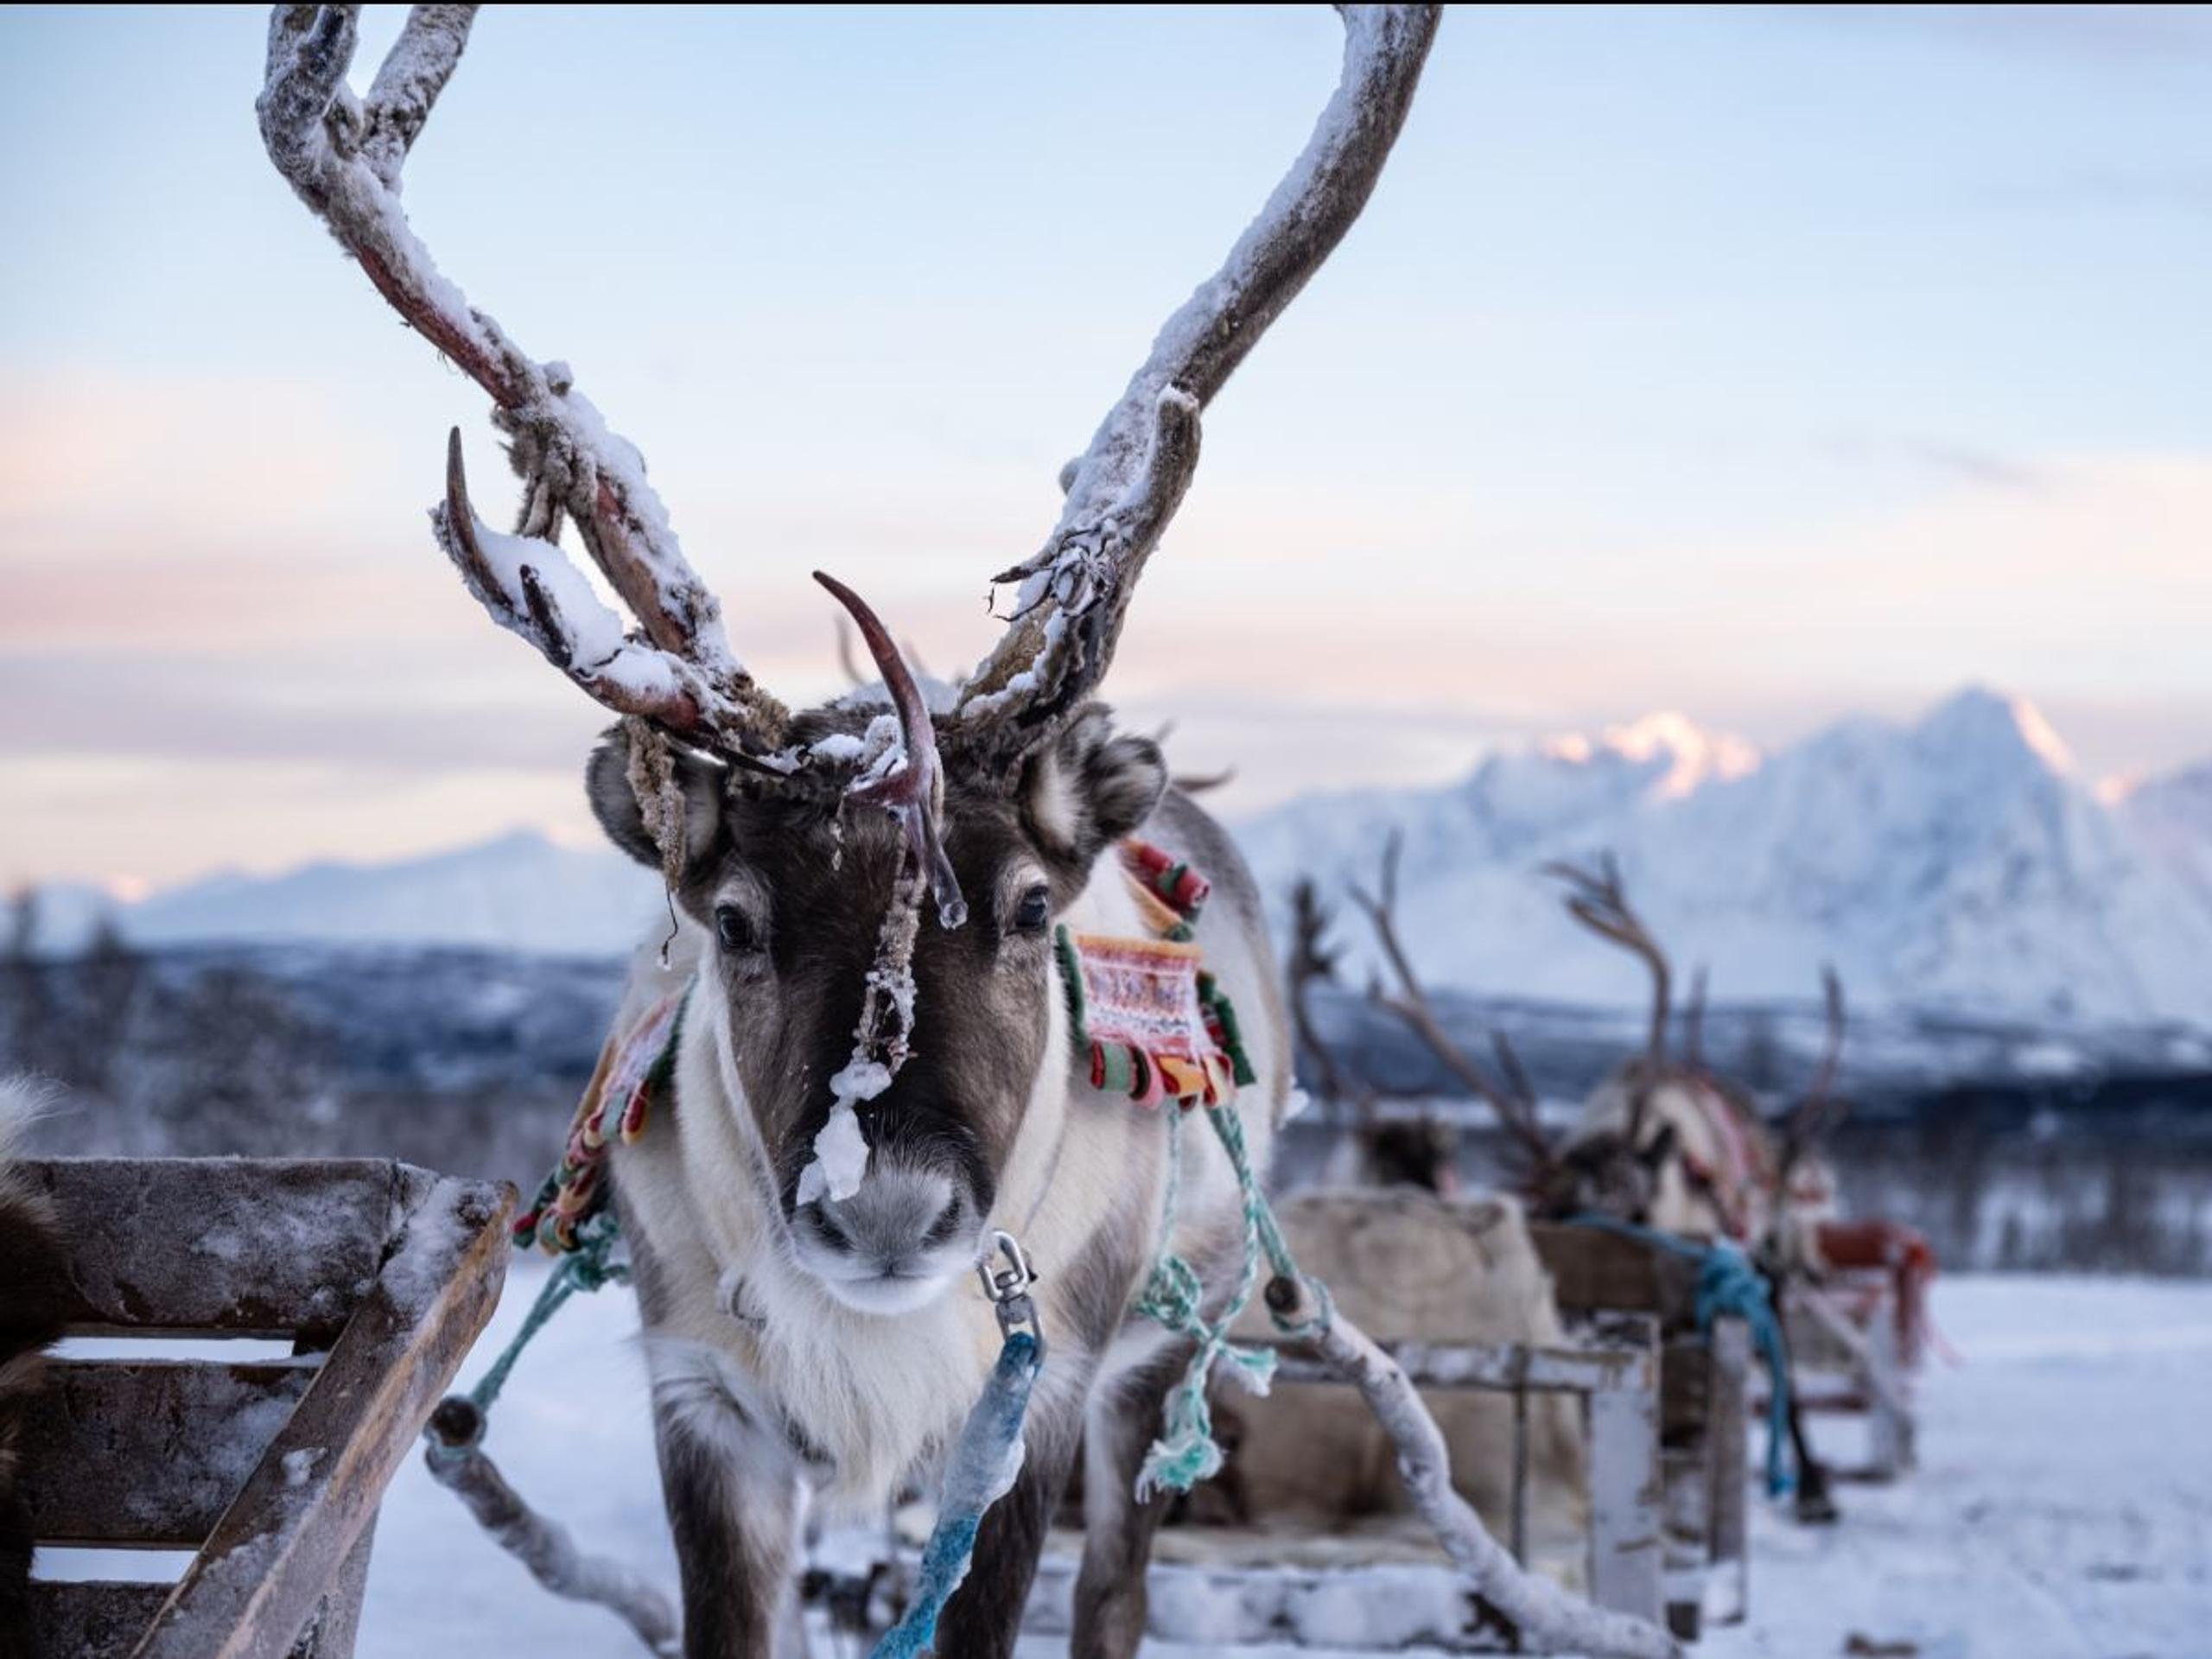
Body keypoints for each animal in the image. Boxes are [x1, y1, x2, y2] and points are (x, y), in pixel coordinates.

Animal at [257, 5, 1442, 1655]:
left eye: (1032, 907)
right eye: (733, 920)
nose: (881, 1206)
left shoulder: (1034, 1406)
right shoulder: (708, 1402)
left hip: (1162, 1359)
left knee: (1119, 1592)